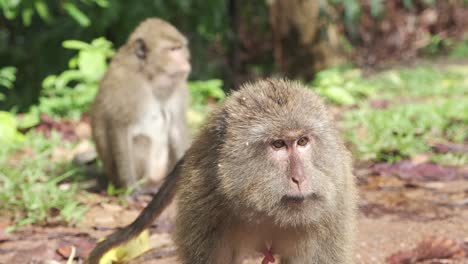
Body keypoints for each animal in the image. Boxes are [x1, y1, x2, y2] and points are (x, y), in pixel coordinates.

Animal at [90, 18, 191, 192]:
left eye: (179, 48)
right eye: (172, 50)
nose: (185, 61)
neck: (148, 76)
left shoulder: (178, 88)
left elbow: (176, 128)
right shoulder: (125, 85)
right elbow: (119, 127)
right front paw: (131, 188)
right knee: (141, 141)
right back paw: (147, 186)